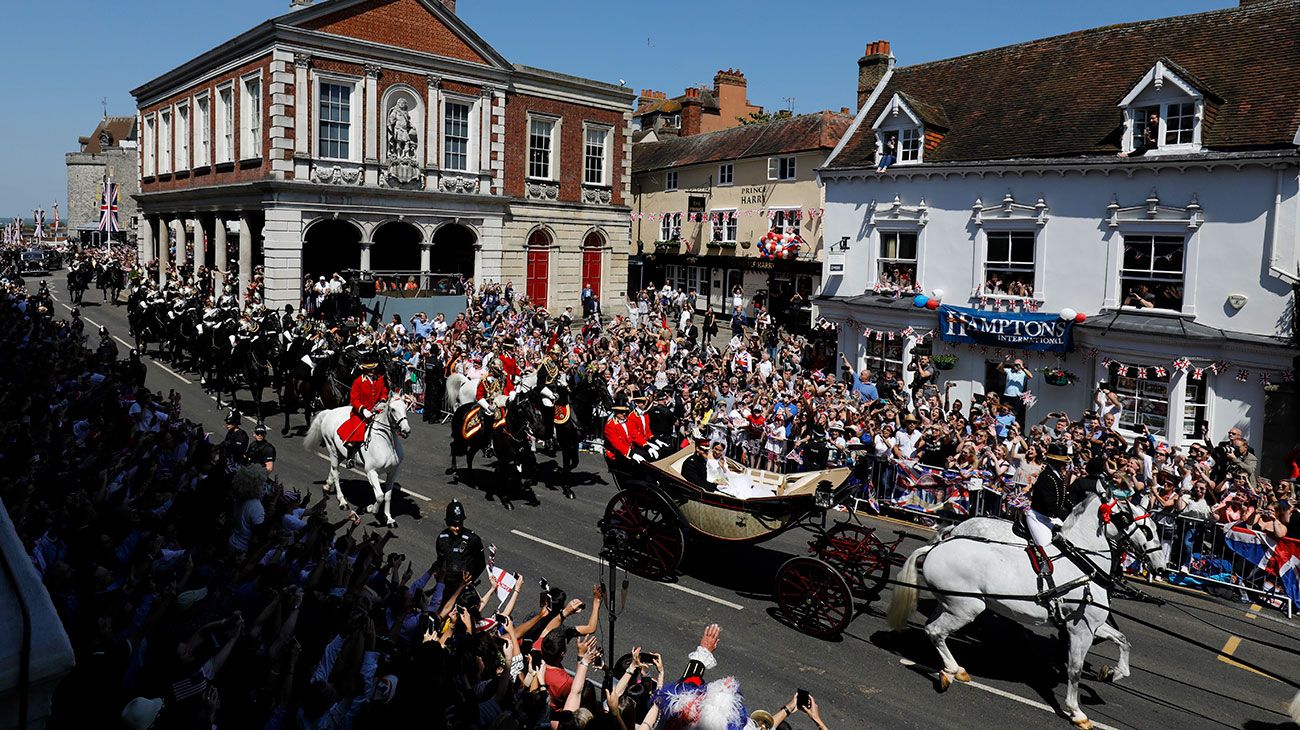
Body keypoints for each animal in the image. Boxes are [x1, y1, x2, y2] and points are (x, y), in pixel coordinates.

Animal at [302, 392, 408, 522]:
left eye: (405, 407)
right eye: (393, 409)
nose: (406, 430)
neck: (387, 444)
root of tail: (330, 412)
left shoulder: (393, 472)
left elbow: (388, 496)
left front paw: (389, 518)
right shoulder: (371, 472)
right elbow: (380, 496)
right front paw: (371, 509)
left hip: (341, 453)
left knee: (333, 470)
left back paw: (327, 486)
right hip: (332, 450)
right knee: (336, 473)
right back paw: (342, 501)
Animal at [889, 480, 1164, 722]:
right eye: (1144, 528)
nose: (1160, 566)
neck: (1083, 564)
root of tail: (936, 546)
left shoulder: (1091, 624)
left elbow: (1123, 641)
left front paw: (1114, 673)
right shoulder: (1081, 629)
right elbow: (1075, 670)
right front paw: (1076, 712)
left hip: (950, 604)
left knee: (933, 629)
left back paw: (951, 667)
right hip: (966, 608)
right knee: (935, 631)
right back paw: (954, 669)